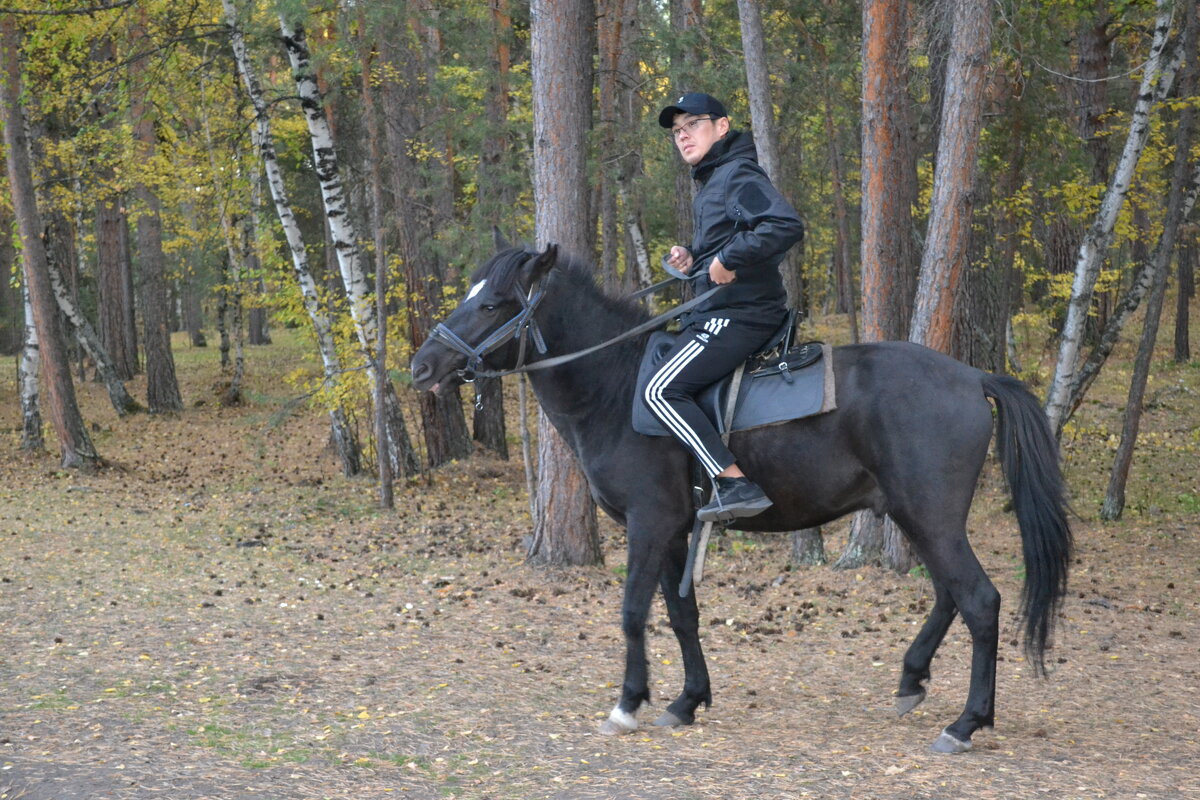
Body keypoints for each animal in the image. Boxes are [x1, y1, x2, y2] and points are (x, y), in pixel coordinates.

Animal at [412, 242, 1070, 753]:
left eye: (492, 303)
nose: (421, 366)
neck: (616, 386)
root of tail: (973, 376)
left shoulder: (648, 523)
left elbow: (632, 612)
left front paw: (628, 704)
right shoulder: (674, 530)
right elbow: (682, 614)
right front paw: (686, 700)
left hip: (931, 517)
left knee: (979, 601)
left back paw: (966, 723)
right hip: (918, 516)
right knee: (949, 596)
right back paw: (912, 680)